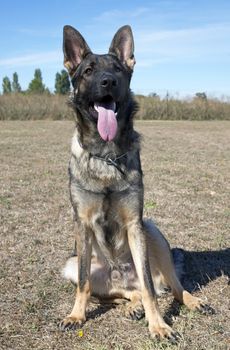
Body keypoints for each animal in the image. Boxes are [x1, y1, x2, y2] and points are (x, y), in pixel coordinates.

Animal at [59, 24, 214, 342]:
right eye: (88, 71)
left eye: (118, 70)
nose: (107, 81)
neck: (106, 155)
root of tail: (121, 276)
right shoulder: (82, 226)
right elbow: (83, 282)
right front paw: (77, 315)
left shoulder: (135, 224)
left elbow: (151, 290)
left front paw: (159, 326)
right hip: (71, 264)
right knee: (123, 292)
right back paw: (131, 306)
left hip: (152, 232)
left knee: (164, 287)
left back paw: (192, 301)